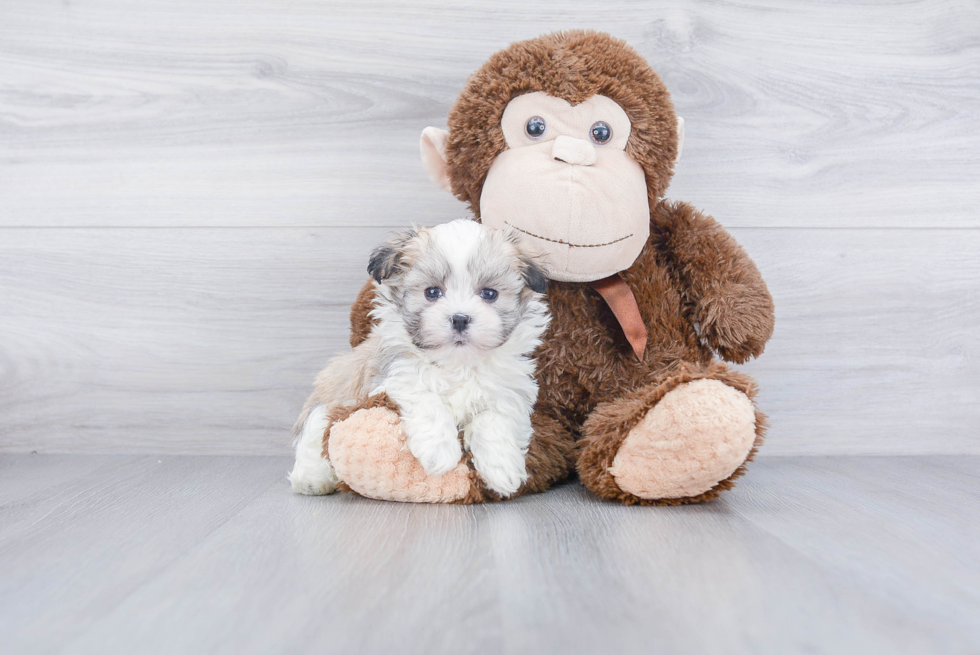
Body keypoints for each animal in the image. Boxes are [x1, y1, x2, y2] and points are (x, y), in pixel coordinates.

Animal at [290, 219, 552, 498]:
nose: (460, 319)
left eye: (489, 294)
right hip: (327, 403)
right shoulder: (394, 376)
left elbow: (493, 420)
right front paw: (440, 451)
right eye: (432, 292)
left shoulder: (506, 392)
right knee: (314, 436)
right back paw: (312, 479)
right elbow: (425, 397)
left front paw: (502, 469)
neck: (458, 363)